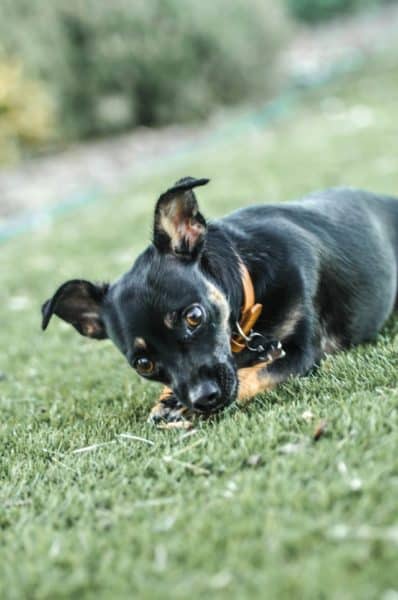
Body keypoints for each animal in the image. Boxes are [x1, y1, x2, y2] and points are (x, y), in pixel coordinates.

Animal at [42, 180, 398, 424]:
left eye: (194, 317)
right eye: (143, 364)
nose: (204, 399)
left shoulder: (303, 355)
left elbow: (253, 376)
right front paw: (166, 400)